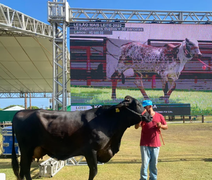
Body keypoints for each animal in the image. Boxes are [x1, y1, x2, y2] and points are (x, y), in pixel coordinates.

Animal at [12, 95, 152, 179]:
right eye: (137, 104)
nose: (150, 116)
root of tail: (21, 112)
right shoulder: (91, 151)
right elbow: (93, 171)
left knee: (23, 170)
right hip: (26, 149)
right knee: (25, 169)